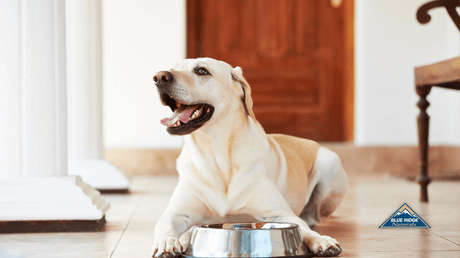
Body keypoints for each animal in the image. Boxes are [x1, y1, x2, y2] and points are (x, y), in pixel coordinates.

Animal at [152, 57, 348, 256]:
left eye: (201, 71)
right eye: (173, 68)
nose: (159, 77)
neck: (217, 154)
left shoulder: (280, 213)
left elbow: (303, 228)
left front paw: (321, 240)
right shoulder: (176, 213)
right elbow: (163, 225)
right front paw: (166, 242)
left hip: (330, 164)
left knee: (313, 216)